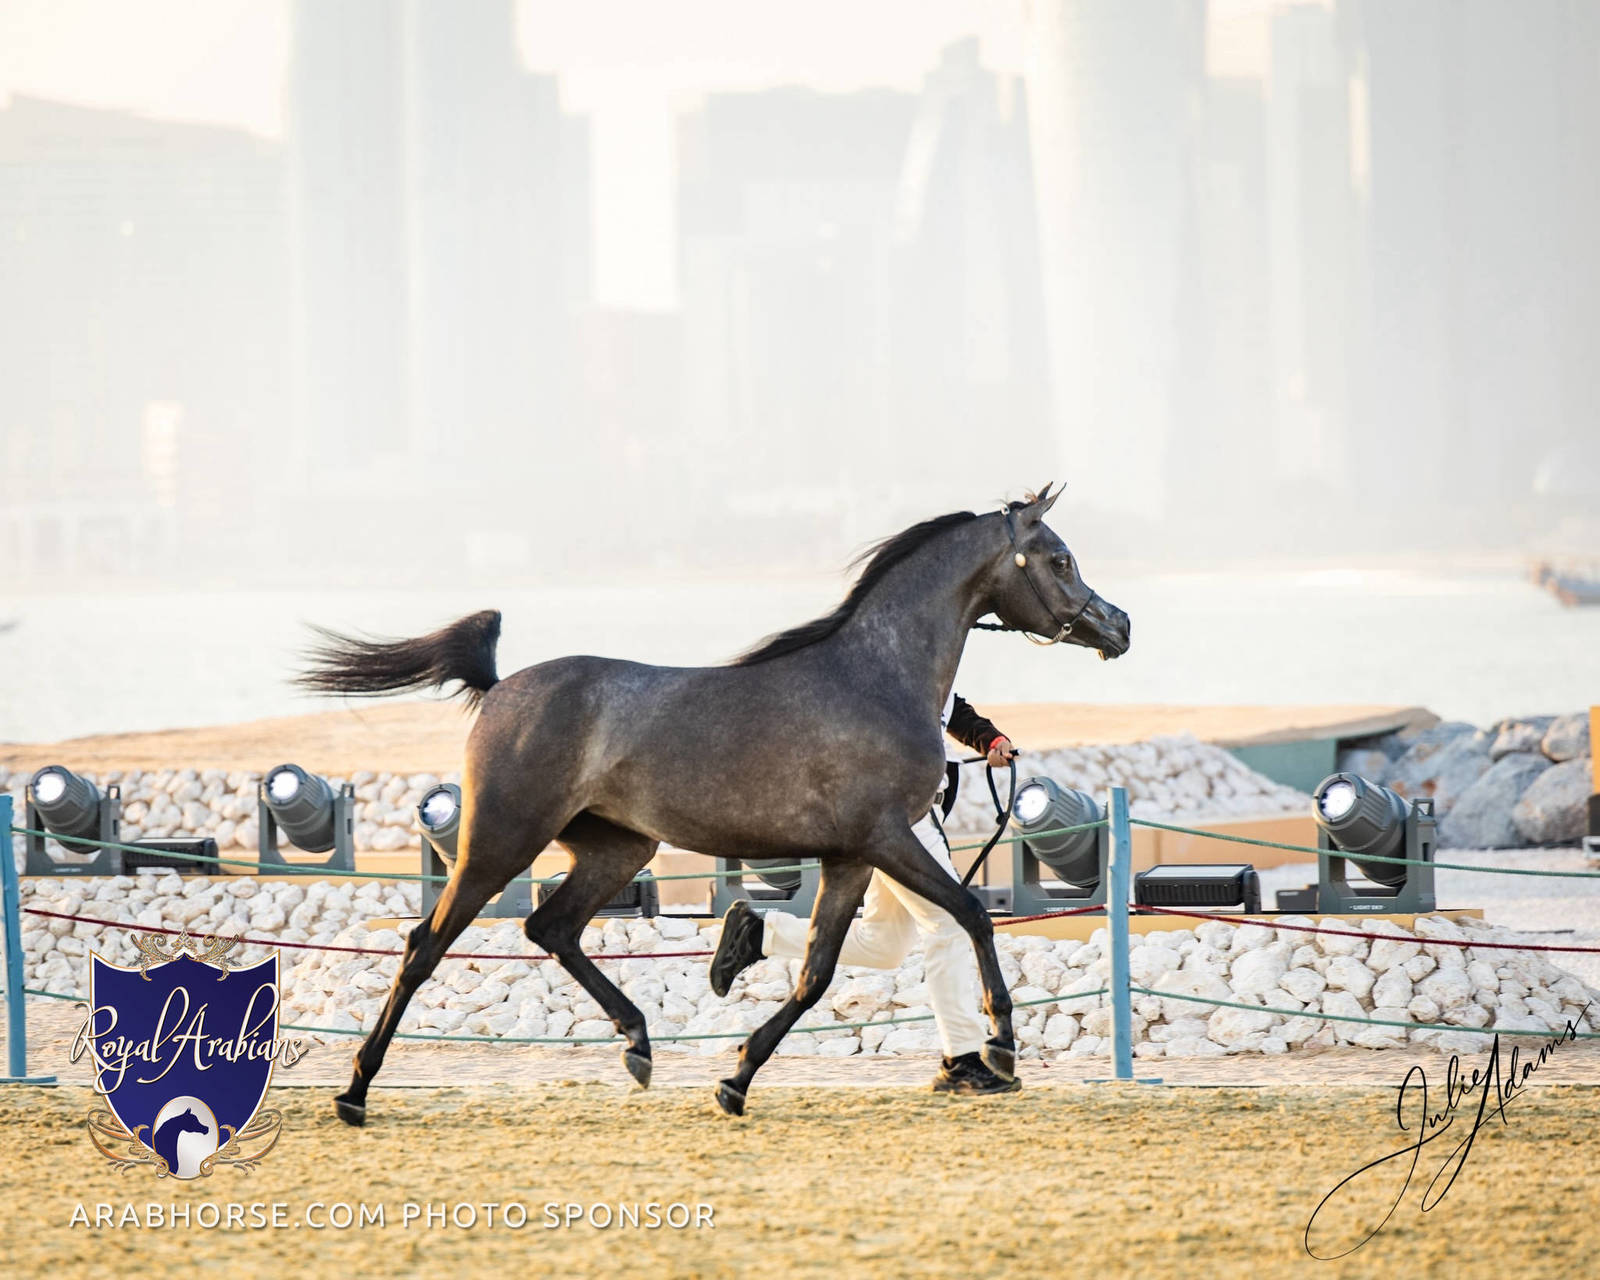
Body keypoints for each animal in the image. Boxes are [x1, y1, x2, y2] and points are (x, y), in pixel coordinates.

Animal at [296, 485, 1130, 1122]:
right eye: (1059, 557)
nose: (1118, 626)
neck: (874, 677)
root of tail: (501, 687)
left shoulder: (851, 858)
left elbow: (816, 974)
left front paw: (735, 1078)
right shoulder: (887, 840)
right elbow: (973, 916)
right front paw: (1001, 1046)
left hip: (616, 847)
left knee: (551, 927)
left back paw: (638, 1044)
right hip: (499, 843)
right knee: (424, 946)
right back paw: (355, 1092)